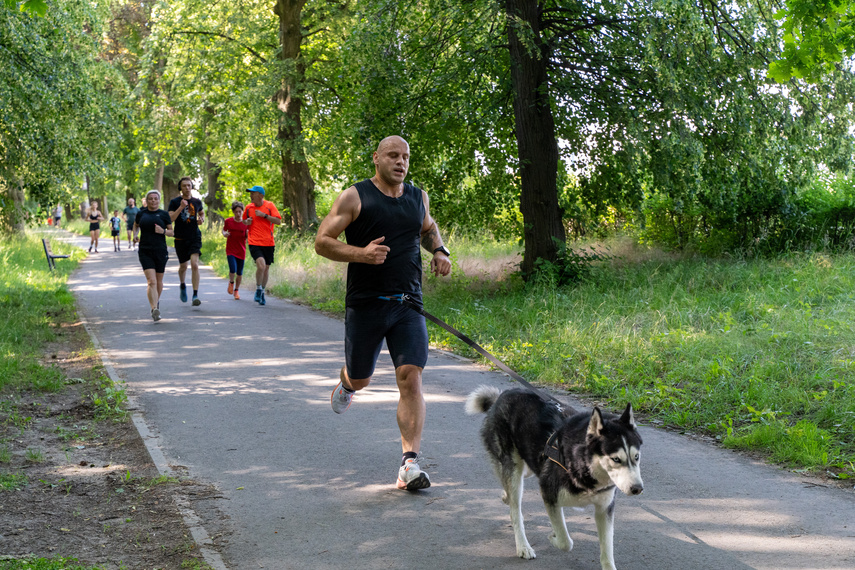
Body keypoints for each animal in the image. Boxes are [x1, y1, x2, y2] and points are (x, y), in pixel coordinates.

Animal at [468, 384, 640, 564]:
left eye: (636, 457)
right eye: (616, 459)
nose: (637, 488)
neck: (582, 465)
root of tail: (502, 395)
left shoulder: (604, 509)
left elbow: (607, 553)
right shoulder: (550, 496)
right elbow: (566, 541)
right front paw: (553, 538)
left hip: (528, 464)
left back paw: (505, 496)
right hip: (514, 471)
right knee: (515, 510)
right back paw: (523, 545)